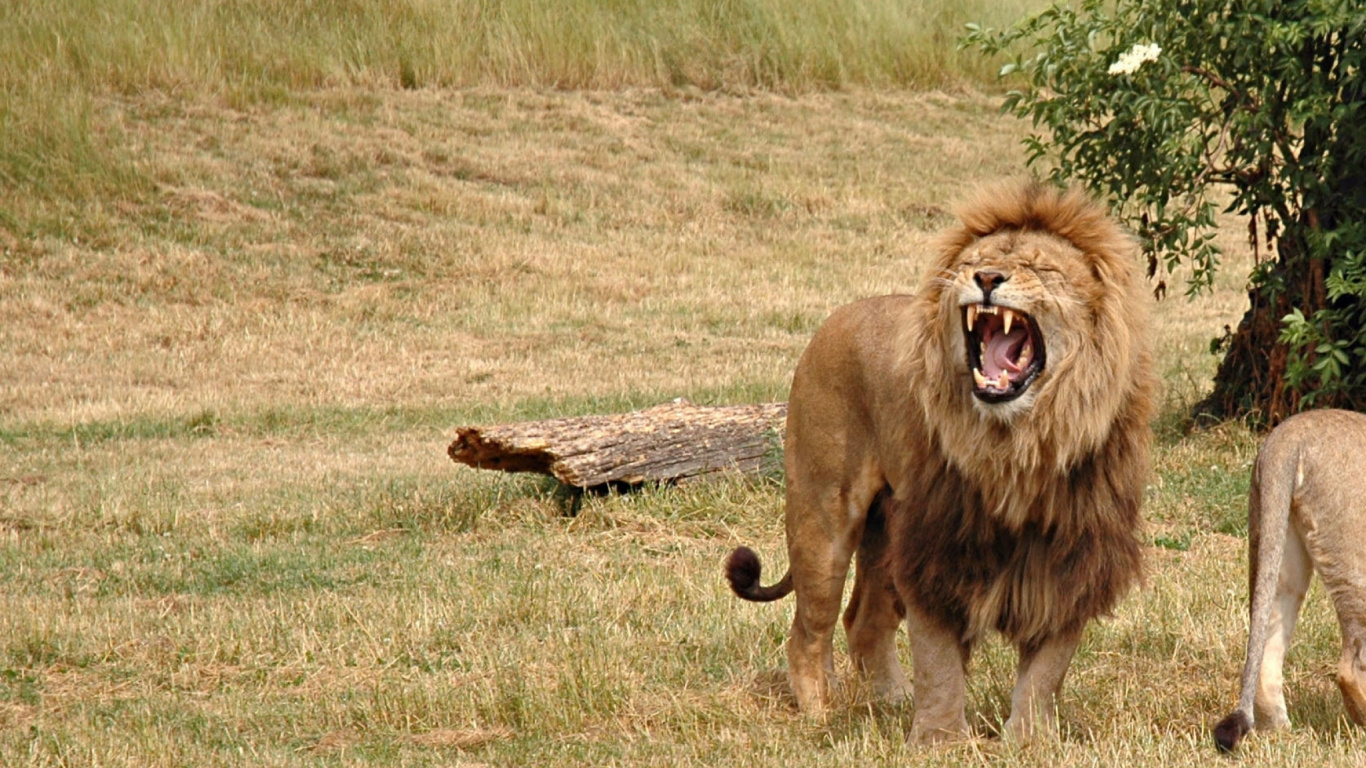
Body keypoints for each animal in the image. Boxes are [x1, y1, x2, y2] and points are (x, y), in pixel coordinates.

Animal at [725, 181, 1156, 743]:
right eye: (974, 261)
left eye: (1040, 268)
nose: (987, 278)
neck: (1019, 445)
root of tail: (840, 315)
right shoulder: (937, 546)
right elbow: (939, 663)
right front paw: (938, 741)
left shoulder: (1071, 555)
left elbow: (1046, 670)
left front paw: (1029, 742)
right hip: (822, 517)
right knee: (809, 630)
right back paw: (822, 714)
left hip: (885, 529)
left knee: (864, 621)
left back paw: (889, 701)